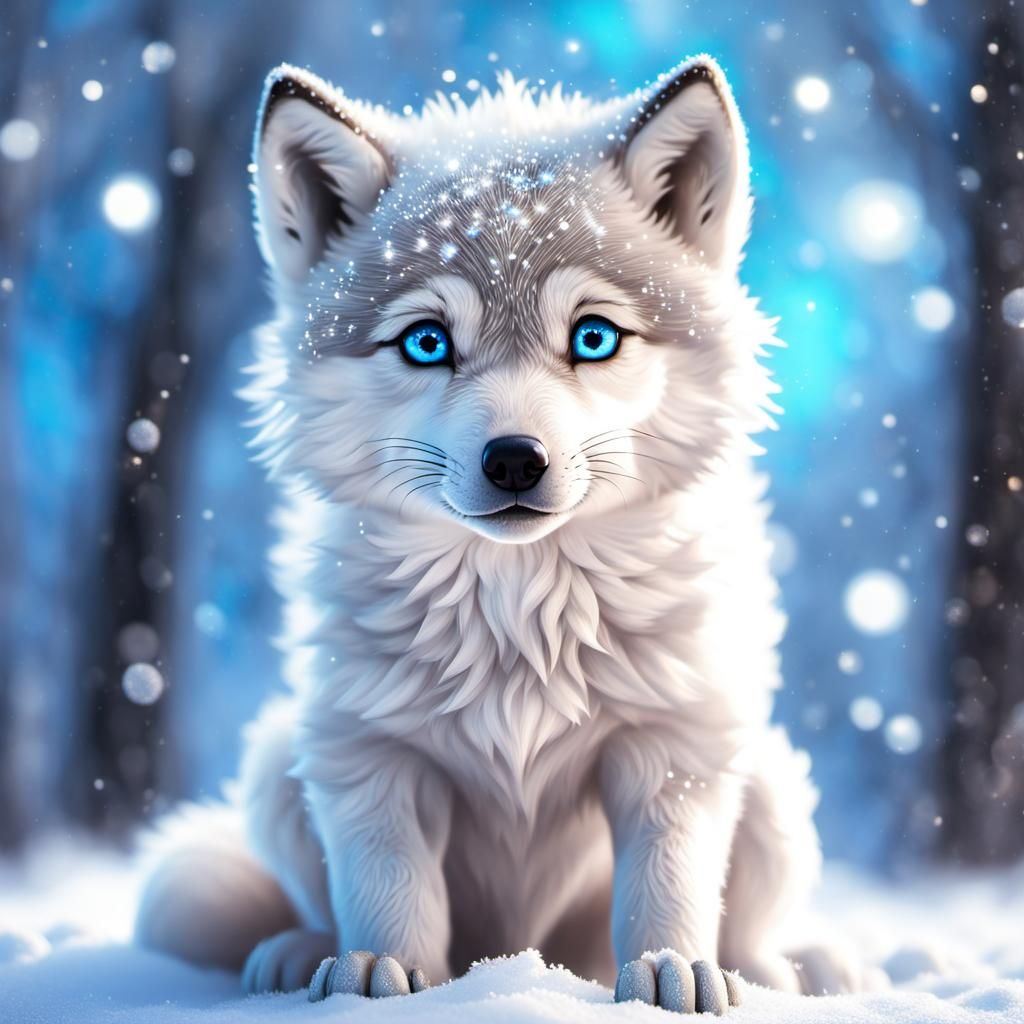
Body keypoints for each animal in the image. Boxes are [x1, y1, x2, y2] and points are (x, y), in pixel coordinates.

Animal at [135, 56, 867, 1012]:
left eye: (592, 337)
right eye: (426, 342)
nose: (516, 459)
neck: (519, 618)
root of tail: (526, 953)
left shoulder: (668, 749)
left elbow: (668, 879)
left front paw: (669, 970)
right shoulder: (372, 756)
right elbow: (386, 882)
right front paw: (378, 973)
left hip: (764, 776)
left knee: (749, 923)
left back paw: (780, 969)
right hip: (278, 761)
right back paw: (301, 956)